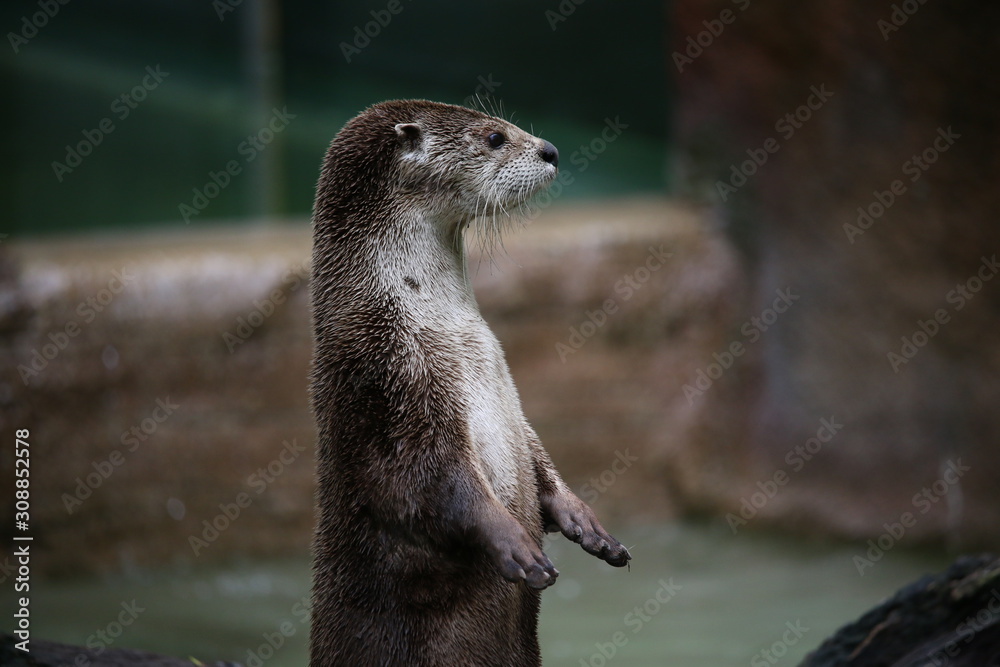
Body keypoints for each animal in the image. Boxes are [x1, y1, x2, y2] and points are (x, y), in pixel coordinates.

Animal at [309, 99, 631, 667]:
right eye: (494, 137)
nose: (550, 150)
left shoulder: (509, 398)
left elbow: (538, 458)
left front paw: (588, 524)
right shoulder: (389, 381)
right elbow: (422, 485)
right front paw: (517, 548)